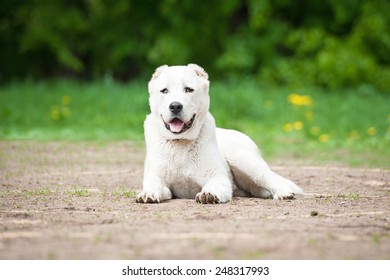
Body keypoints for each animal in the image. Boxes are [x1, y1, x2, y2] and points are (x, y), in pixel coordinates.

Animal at [136, 63, 304, 203]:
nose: (175, 106)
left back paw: (283, 193)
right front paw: (147, 194)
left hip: (244, 161)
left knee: (271, 178)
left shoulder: (217, 178)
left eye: (188, 89)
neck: (181, 143)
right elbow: (154, 186)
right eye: (164, 91)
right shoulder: (157, 179)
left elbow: (212, 187)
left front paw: (208, 194)